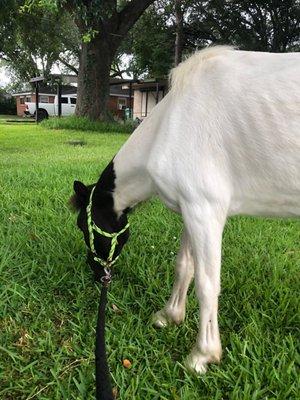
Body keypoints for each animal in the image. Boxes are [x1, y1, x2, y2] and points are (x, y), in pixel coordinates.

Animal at [72, 47, 300, 376]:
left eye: (82, 225)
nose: (94, 270)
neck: (173, 123)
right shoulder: (191, 210)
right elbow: (185, 267)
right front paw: (170, 315)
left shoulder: (204, 211)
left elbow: (207, 284)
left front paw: (203, 355)